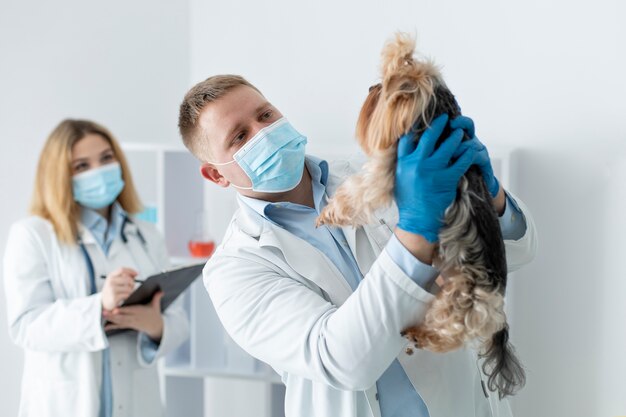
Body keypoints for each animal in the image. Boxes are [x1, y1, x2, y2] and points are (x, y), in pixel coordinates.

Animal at [314, 32, 524, 396]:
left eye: (384, 86)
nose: (370, 87)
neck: (437, 122)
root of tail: (497, 305)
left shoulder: (383, 172)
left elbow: (357, 190)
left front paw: (328, 213)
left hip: (459, 301)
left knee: (450, 333)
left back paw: (421, 335)